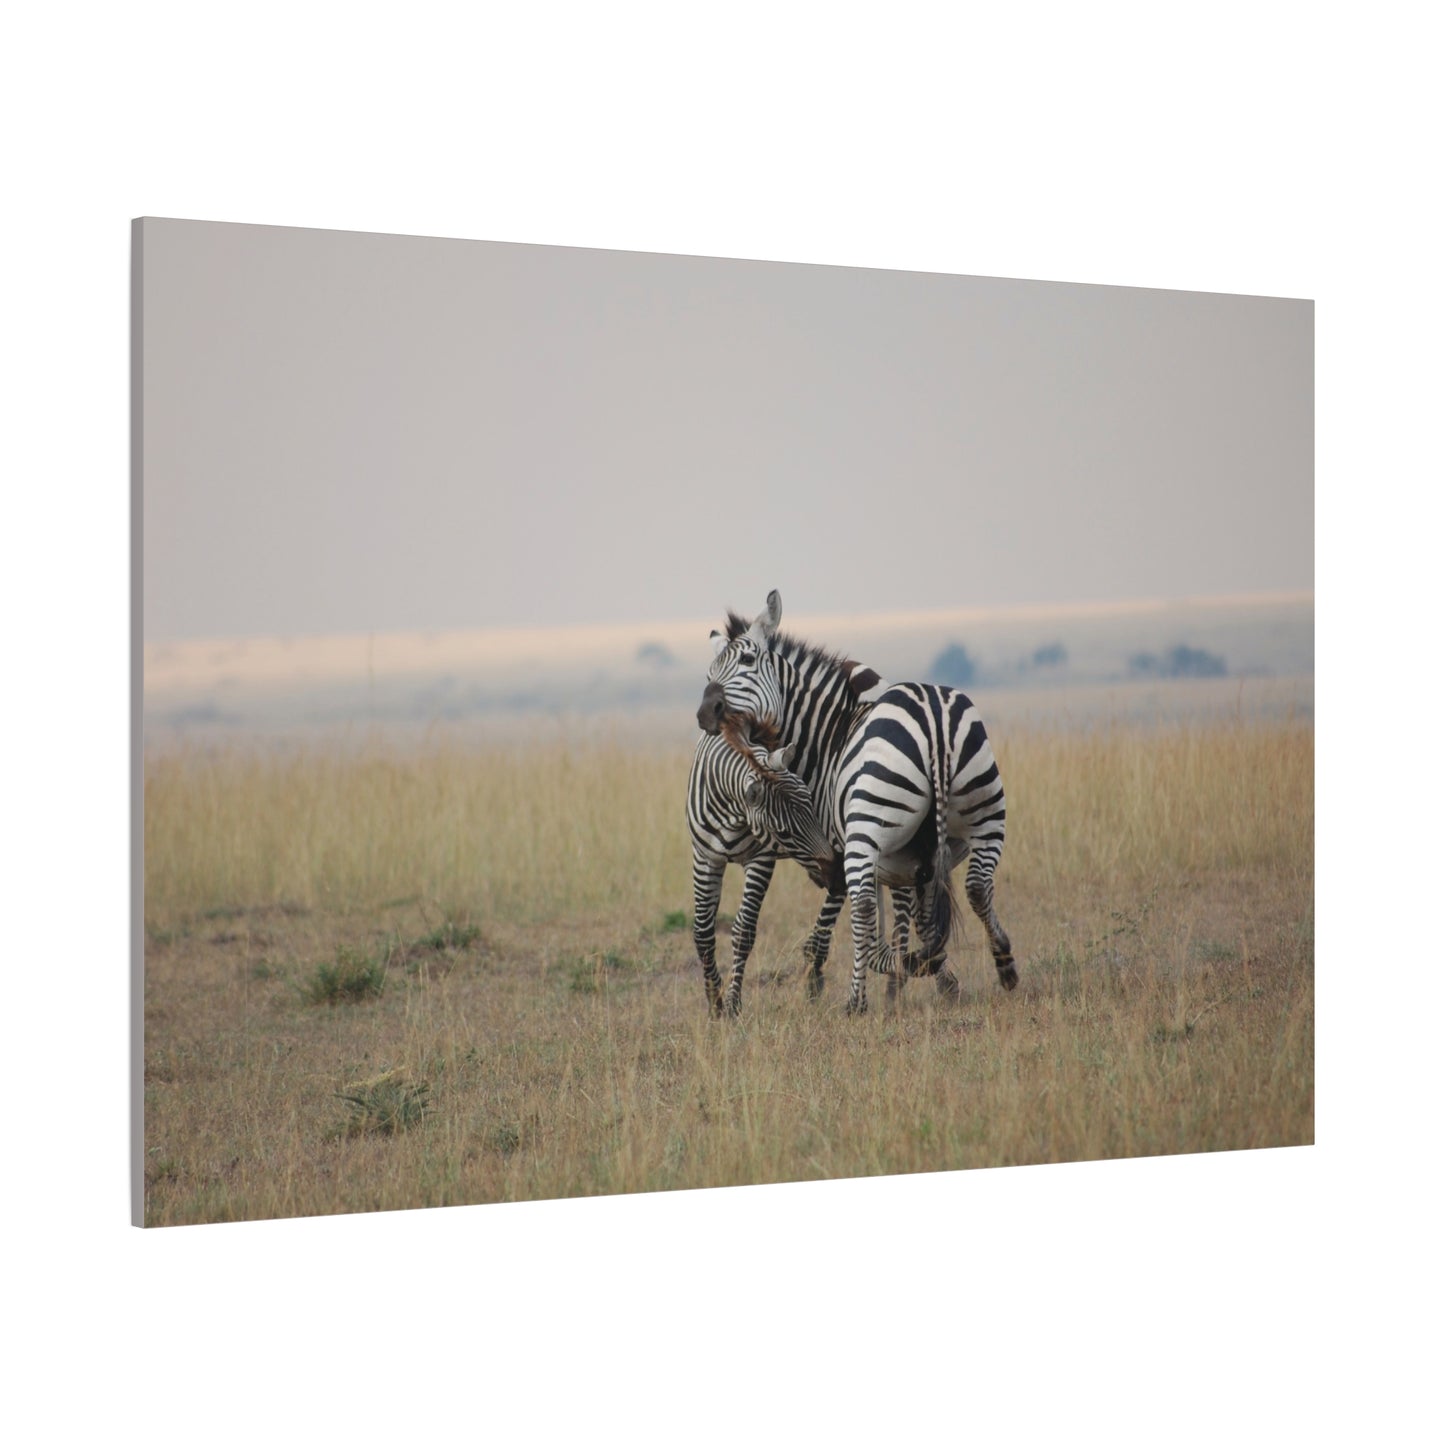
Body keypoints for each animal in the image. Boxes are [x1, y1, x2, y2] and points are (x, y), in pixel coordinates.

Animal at [687, 723, 841, 1017]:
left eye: (811, 805)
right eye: (783, 832)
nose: (834, 870)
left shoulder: (761, 858)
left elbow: (743, 931)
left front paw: (733, 1003)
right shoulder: (705, 857)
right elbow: (702, 933)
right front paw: (714, 1001)